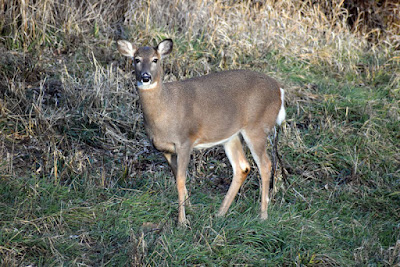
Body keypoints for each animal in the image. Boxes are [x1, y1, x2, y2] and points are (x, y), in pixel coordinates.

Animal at [117, 38, 286, 226]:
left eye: (155, 59)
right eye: (136, 59)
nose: (145, 77)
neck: (165, 109)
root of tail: (280, 90)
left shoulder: (185, 141)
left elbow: (181, 179)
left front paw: (182, 221)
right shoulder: (165, 149)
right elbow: (177, 178)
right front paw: (189, 209)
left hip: (257, 128)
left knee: (265, 165)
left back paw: (262, 215)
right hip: (232, 136)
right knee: (243, 167)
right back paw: (220, 213)